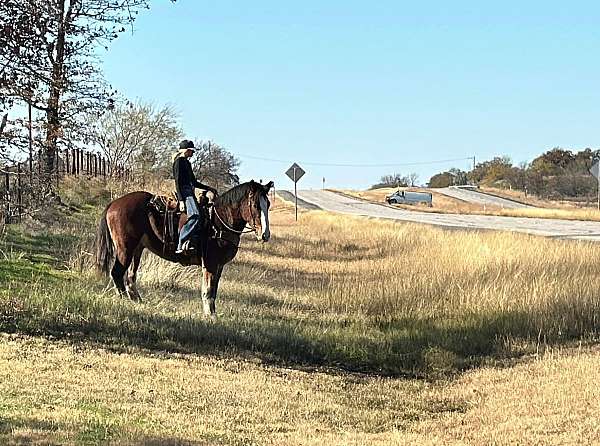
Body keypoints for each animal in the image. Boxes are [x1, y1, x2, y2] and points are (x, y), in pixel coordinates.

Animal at [95, 179, 274, 318]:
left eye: (268, 204)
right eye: (255, 205)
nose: (265, 234)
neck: (219, 221)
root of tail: (113, 204)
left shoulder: (219, 266)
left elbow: (214, 290)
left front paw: (212, 313)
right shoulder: (210, 263)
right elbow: (208, 290)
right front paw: (210, 315)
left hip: (137, 249)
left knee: (130, 275)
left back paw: (137, 299)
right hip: (125, 248)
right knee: (117, 272)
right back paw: (124, 300)